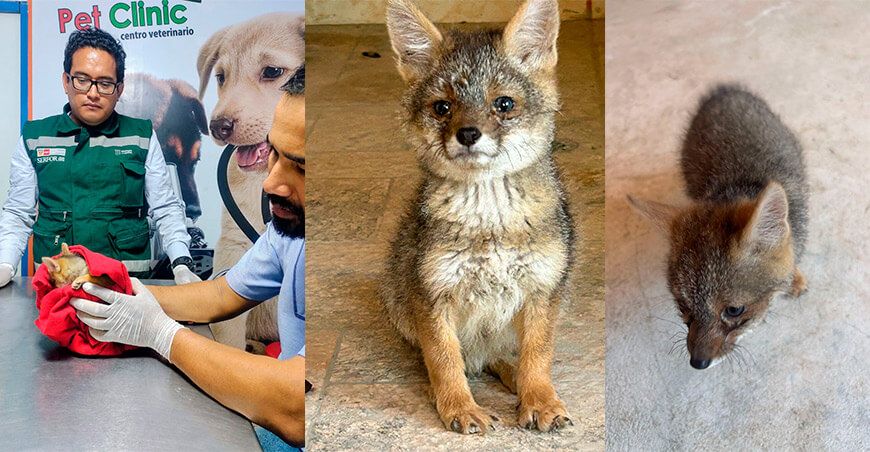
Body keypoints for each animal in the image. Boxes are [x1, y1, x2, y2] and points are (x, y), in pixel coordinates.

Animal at [380, 0, 574, 434]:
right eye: (443, 108)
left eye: (504, 104)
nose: (468, 134)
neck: (490, 225)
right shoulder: (432, 293)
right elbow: (444, 359)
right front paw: (458, 406)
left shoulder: (542, 289)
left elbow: (538, 357)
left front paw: (539, 399)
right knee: (454, 359)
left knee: (499, 357)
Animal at [629, 84, 809, 370]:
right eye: (683, 305)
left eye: (734, 310)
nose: (697, 363)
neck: (738, 188)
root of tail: (724, 91)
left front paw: (795, 277)